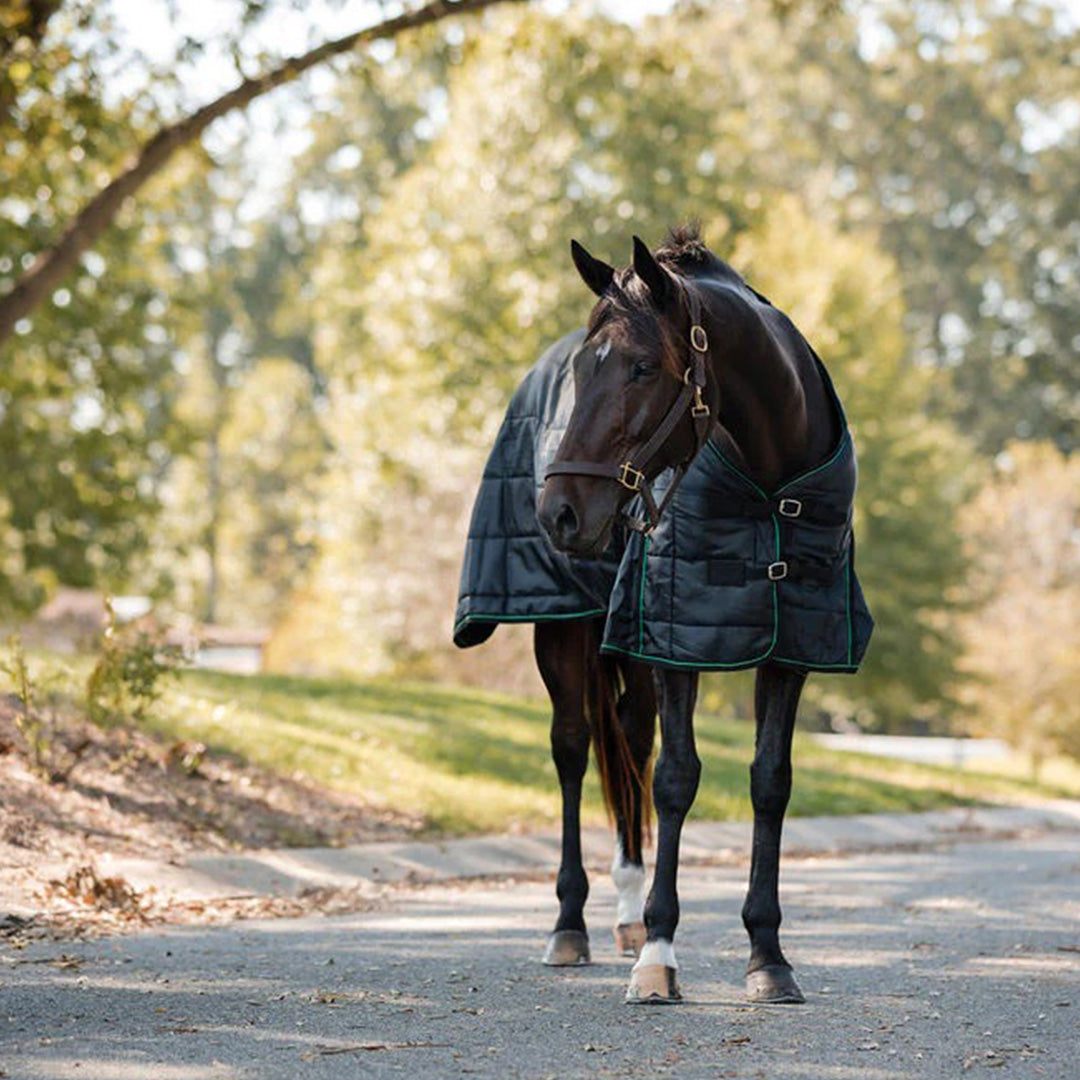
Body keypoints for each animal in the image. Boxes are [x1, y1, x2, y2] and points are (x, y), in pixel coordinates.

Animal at [453, 224, 872, 1004]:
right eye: (584, 371)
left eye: (644, 367)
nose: (559, 513)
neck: (769, 482)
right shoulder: (676, 641)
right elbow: (678, 778)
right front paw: (659, 955)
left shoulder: (792, 641)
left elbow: (769, 781)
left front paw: (768, 956)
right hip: (567, 629)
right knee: (574, 747)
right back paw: (572, 924)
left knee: (629, 742)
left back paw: (623, 911)